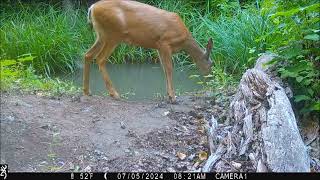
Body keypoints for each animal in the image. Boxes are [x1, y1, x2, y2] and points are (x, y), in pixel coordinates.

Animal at [83, 0, 212, 103]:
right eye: (211, 64)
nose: (210, 77)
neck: (184, 40)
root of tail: (92, 8)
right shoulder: (164, 43)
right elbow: (169, 68)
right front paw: (173, 97)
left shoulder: (159, 47)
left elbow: (164, 69)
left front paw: (168, 94)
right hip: (113, 34)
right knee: (100, 59)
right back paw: (114, 94)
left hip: (101, 35)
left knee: (88, 55)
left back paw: (87, 91)